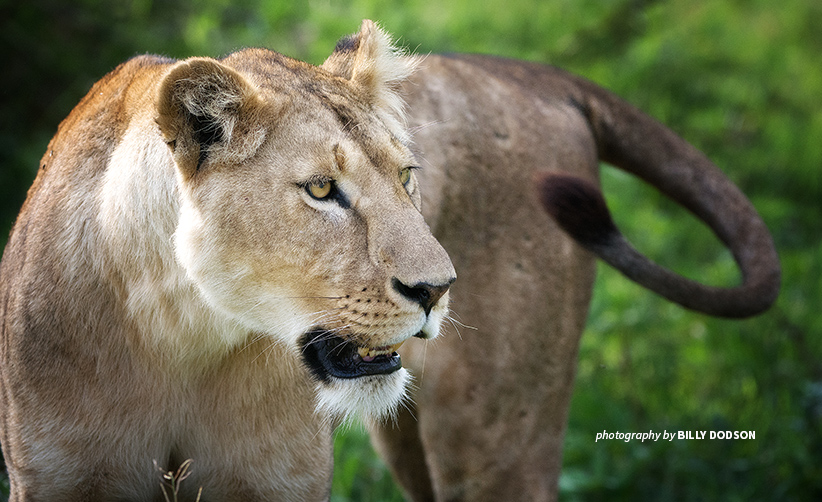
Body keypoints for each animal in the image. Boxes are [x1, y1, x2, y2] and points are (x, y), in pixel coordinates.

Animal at [0, 20, 780, 502]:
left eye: (407, 177)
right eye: (321, 190)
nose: (438, 288)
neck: (181, 333)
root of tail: (529, 72)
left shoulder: (278, 480)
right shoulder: (60, 475)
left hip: (495, 430)